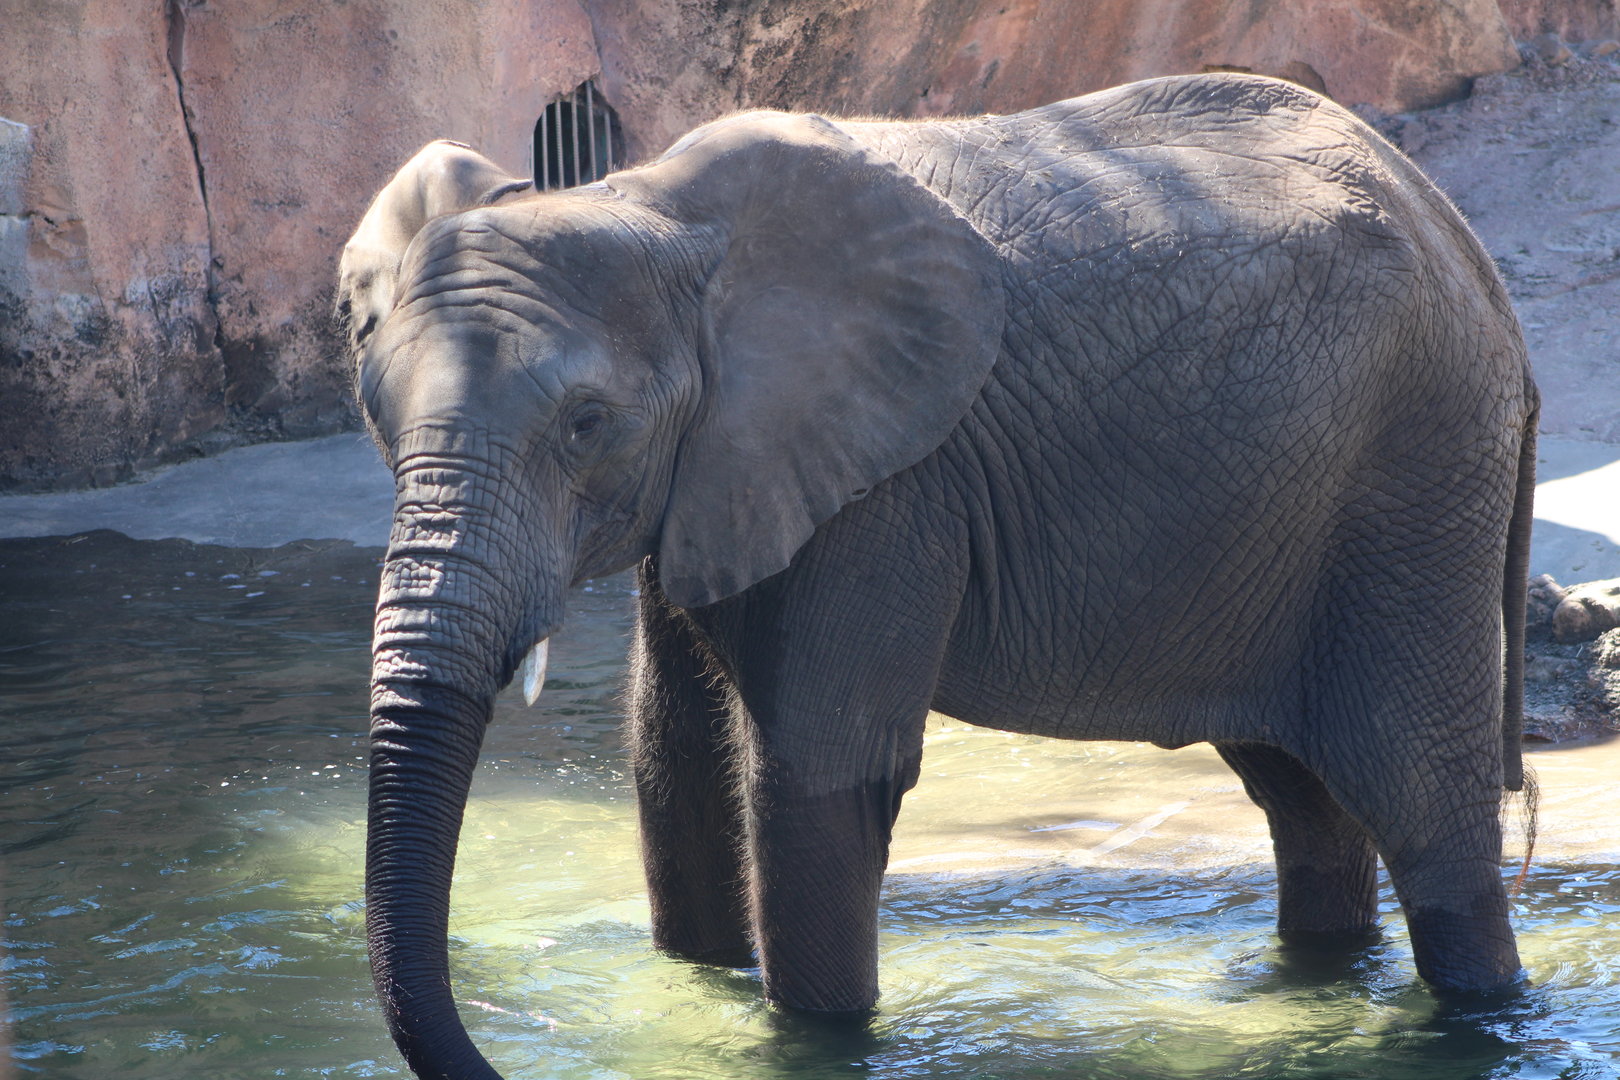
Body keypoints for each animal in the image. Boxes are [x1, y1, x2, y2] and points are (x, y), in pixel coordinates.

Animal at [339, 73, 1537, 1080]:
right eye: (376, 413)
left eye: (586, 424)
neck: (648, 208)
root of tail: (1467, 248)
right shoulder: (722, 470)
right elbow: (669, 760)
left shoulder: (888, 488)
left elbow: (815, 782)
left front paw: (816, 1042)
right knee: (1302, 790)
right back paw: (1312, 988)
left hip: (1416, 477)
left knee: (1420, 799)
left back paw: (1477, 1013)